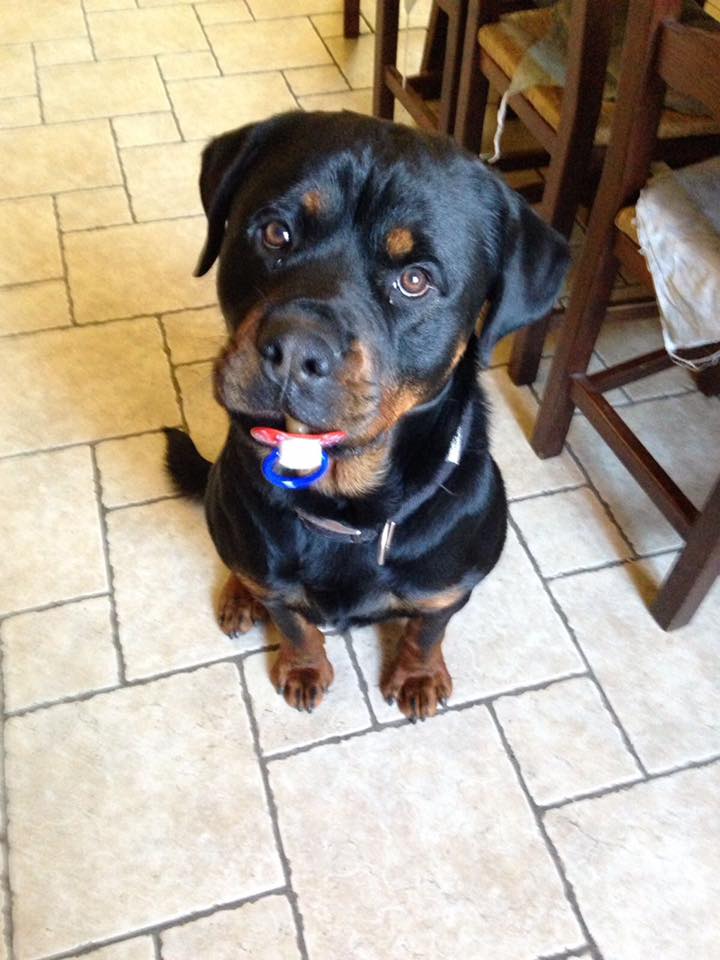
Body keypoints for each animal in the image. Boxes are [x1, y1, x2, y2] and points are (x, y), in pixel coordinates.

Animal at [165, 109, 568, 720]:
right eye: (276, 233)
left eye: (415, 279)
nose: (295, 349)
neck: (345, 508)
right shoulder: (274, 577)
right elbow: (292, 620)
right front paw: (304, 667)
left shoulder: (448, 587)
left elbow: (428, 627)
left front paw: (418, 675)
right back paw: (240, 595)